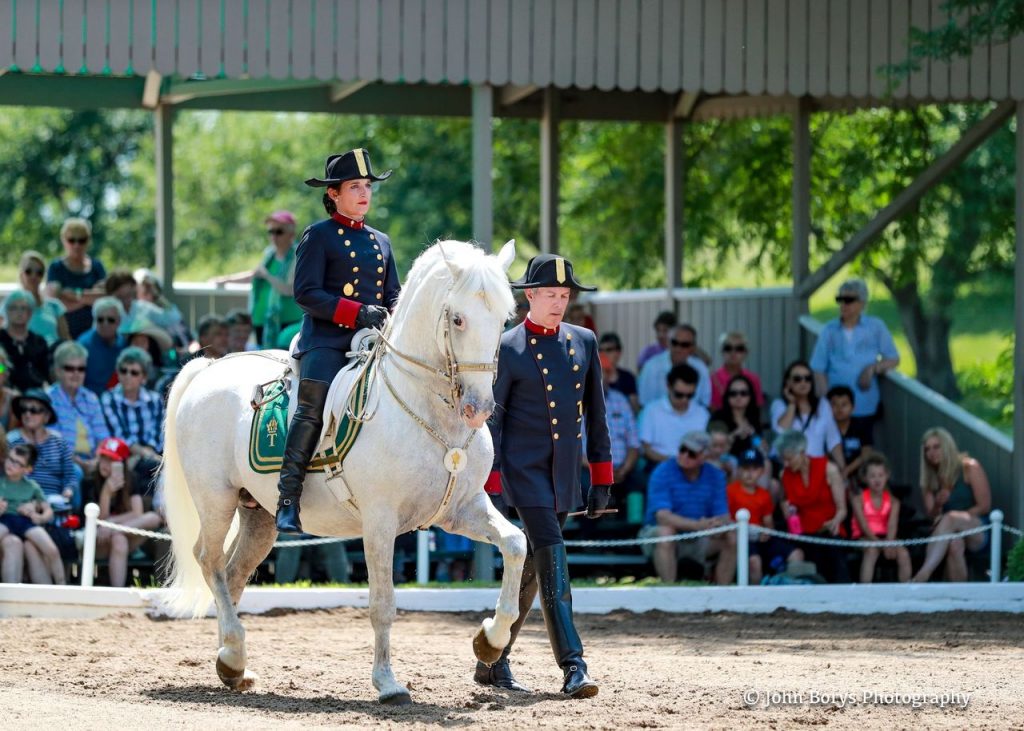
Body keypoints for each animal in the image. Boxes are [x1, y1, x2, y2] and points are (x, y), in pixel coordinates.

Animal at [161, 237, 528, 700]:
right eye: (458, 319)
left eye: (503, 319)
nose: (478, 409)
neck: (429, 411)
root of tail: (210, 367)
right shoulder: (380, 522)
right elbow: (383, 604)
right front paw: (387, 683)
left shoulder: (461, 510)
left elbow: (515, 544)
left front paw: (489, 640)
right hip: (216, 499)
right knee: (208, 561)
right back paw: (233, 653)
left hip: (257, 514)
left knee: (232, 573)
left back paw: (232, 663)